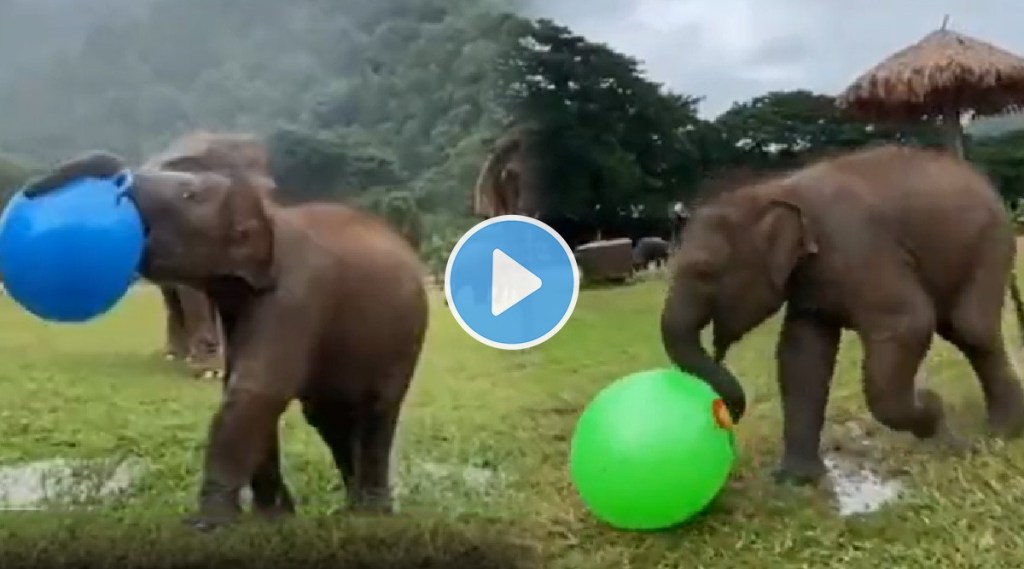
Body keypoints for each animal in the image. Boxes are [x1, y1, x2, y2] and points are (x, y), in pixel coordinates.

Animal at [23, 150, 432, 528]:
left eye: (188, 194)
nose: (28, 191)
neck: (269, 212)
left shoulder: (296, 295)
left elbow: (257, 390)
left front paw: (208, 524)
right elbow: (244, 391)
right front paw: (274, 518)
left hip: (403, 343)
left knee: (376, 412)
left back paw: (370, 514)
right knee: (328, 418)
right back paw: (354, 507)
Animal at [659, 145, 1024, 485]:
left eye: (705, 271)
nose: (727, 415)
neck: (772, 189)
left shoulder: (859, 247)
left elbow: (909, 322)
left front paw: (932, 408)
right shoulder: (809, 282)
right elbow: (802, 352)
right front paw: (795, 481)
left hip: (991, 242)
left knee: (971, 327)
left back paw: (1000, 433)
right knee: (959, 329)